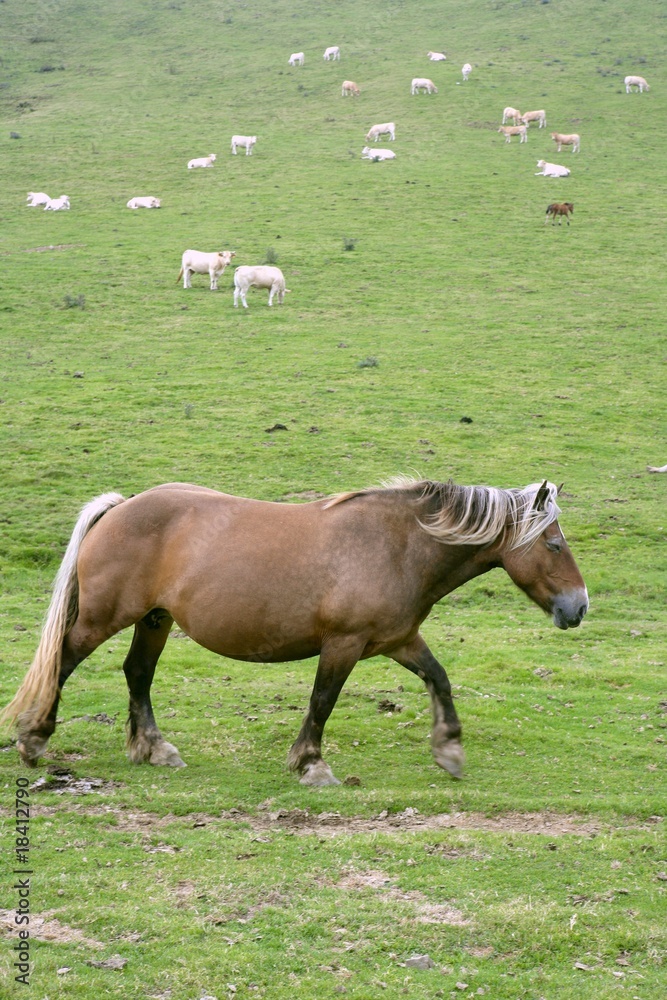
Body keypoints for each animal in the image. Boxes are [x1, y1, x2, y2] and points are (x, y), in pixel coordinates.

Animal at [1, 477, 588, 786]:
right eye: (554, 544)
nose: (579, 607)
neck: (399, 546)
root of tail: (121, 508)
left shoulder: (397, 641)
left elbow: (438, 679)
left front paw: (449, 751)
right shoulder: (344, 644)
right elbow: (322, 700)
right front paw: (310, 764)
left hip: (155, 621)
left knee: (137, 674)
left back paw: (155, 748)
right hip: (104, 619)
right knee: (64, 662)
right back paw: (33, 741)